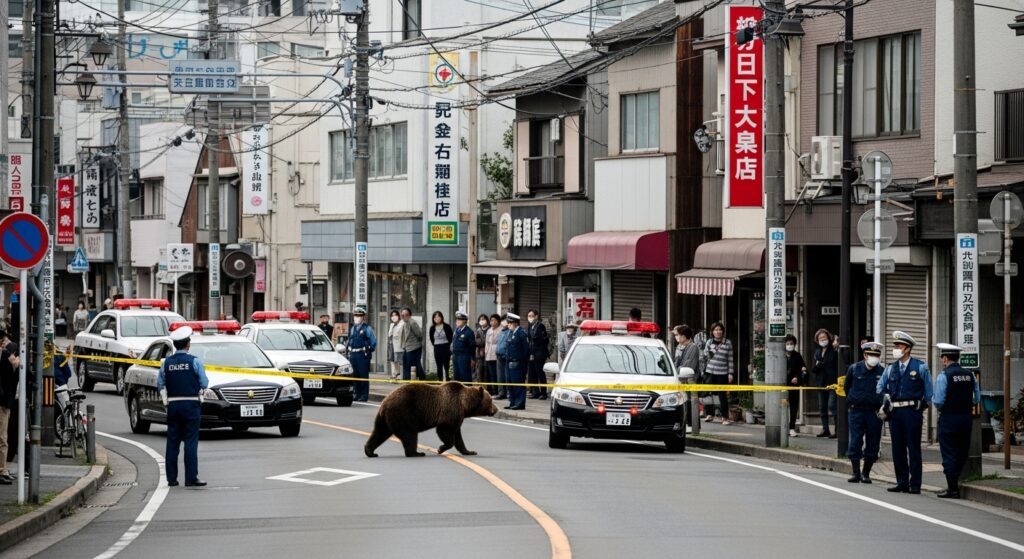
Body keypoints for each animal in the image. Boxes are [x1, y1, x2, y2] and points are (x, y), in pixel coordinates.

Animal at [364, 382, 498, 458]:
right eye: (491, 400)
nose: (496, 409)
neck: (464, 405)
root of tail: (384, 403)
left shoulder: (457, 416)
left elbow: (458, 437)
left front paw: (470, 451)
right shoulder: (450, 410)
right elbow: (445, 431)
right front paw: (441, 448)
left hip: (385, 419)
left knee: (379, 433)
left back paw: (370, 451)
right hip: (404, 413)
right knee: (409, 435)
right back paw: (416, 453)